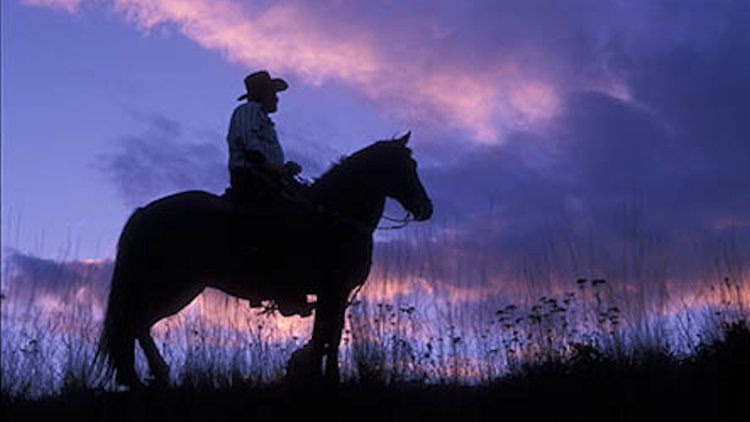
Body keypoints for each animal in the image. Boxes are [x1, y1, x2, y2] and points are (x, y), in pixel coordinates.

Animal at [97, 134, 434, 388]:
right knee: (135, 324)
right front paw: (325, 378)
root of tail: (144, 213)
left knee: (136, 326)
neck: (335, 215)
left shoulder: (331, 295)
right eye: (406, 165)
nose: (425, 207)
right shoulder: (334, 291)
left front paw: (308, 371)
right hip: (173, 287)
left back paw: (146, 377)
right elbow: (330, 336)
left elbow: (325, 335)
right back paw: (145, 377)